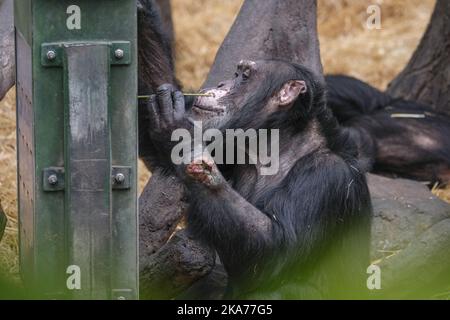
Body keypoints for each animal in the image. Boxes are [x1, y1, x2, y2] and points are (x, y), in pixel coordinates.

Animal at [145, 58, 372, 298]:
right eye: (236, 74)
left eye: (244, 76)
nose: (221, 84)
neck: (279, 145)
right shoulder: (228, 145)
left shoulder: (325, 175)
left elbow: (277, 247)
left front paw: (180, 135)